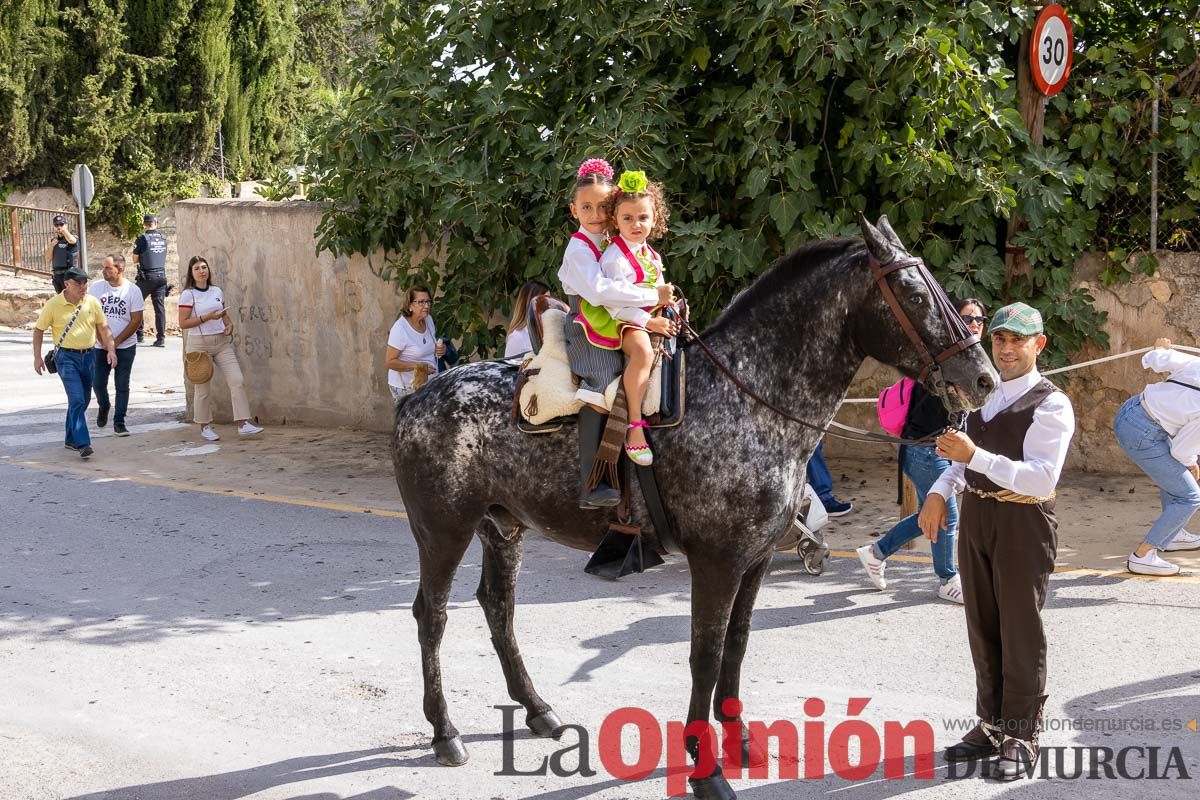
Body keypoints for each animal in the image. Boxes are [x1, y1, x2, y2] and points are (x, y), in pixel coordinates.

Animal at [388, 215, 998, 796]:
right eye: (913, 292)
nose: (984, 377)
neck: (752, 398)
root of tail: (417, 398)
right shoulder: (716, 562)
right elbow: (704, 654)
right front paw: (706, 768)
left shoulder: (753, 561)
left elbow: (736, 647)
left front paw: (740, 740)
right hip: (444, 530)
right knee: (431, 615)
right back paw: (445, 732)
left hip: (504, 527)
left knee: (498, 608)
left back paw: (538, 710)